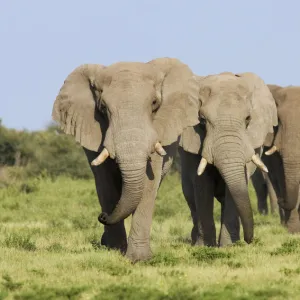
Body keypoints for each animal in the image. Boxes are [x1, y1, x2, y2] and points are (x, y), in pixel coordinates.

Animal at [51, 57, 200, 262]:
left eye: (155, 103)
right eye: (103, 108)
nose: (102, 216)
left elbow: (148, 184)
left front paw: (139, 259)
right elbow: (105, 182)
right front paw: (115, 251)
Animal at [177, 71, 278, 247]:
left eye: (248, 118)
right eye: (202, 120)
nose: (249, 240)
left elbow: (238, 183)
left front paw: (229, 246)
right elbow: (202, 184)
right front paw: (205, 247)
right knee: (190, 196)